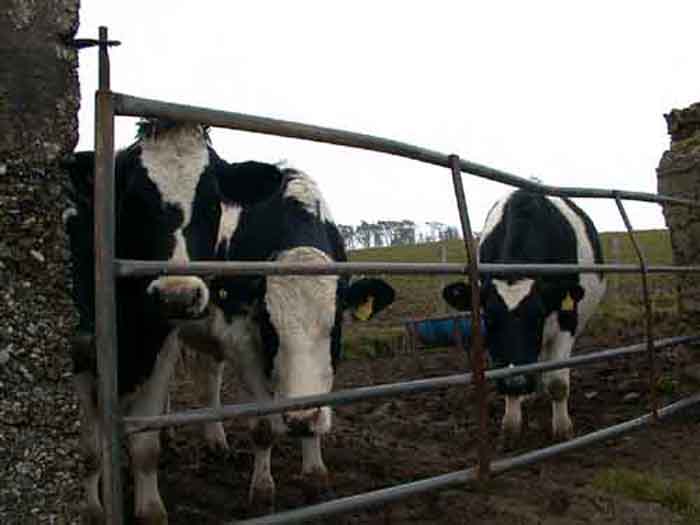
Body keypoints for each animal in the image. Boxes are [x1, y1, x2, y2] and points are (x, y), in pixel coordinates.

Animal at [63, 119, 286, 524]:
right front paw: (93, 510)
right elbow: (89, 450)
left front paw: (150, 509)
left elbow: (145, 448)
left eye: (213, 201)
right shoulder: (80, 359)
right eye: (134, 200)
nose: (177, 295)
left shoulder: (161, 349)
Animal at [178, 165, 396, 512]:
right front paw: (262, 491)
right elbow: (264, 427)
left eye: (336, 325)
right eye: (269, 325)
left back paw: (216, 443)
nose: (299, 419)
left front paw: (315, 477)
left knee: (208, 379)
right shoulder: (240, 337)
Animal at [446, 188, 604, 442]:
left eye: (537, 316)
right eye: (488, 317)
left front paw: (563, 429)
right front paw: (510, 425)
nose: (516, 382)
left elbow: (558, 383)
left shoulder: (567, 320)